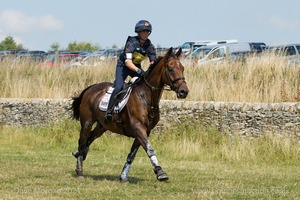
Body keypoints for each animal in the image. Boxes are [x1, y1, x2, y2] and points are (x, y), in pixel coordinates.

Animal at [70, 47, 189, 183]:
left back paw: (80, 154)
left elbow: (132, 154)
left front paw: (123, 176)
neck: (147, 98)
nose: (184, 91)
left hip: (102, 126)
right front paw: (160, 172)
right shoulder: (138, 127)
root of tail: (91, 88)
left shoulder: (145, 131)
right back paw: (79, 169)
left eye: (182, 68)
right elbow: (149, 149)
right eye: (171, 69)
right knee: (83, 140)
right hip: (87, 122)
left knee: (89, 138)